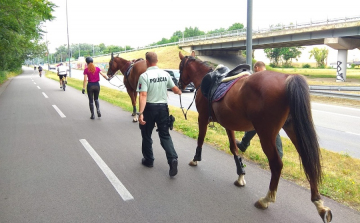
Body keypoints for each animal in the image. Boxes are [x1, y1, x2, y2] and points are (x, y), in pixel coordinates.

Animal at [177, 51, 332, 222]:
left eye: (180, 67)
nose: (179, 85)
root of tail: (288, 78)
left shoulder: (203, 118)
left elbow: (200, 139)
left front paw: (195, 159)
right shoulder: (228, 124)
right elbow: (234, 149)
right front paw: (240, 175)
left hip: (266, 134)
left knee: (277, 164)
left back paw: (266, 199)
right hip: (293, 129)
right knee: (307, 161)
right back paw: (319, 204)